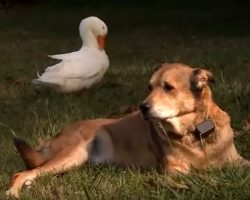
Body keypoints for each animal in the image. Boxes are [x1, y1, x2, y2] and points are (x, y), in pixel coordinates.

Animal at [6, 63, 249, 198]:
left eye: (168, 87)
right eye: (149, 87)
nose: (142, 107)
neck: (195, 132)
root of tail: (55, 135)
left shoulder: (238, 160)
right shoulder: (175, 171)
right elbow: (205, 176)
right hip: (72, 153)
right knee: (22, 172)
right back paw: (13, 191)